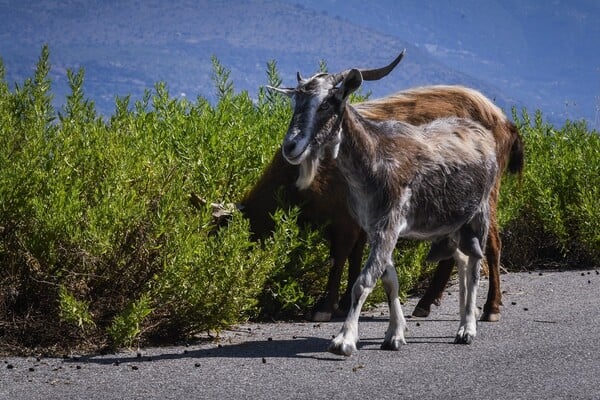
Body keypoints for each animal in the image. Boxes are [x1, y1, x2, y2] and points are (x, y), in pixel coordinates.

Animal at [219, 84, 520, 322]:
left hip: (486, 195)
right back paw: (426, 302)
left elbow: (339, 256)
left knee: (493, 244)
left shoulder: (343, 218)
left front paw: (325, 306)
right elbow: (355, 254)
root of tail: (506, 123)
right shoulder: (360, 217)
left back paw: (491, 307)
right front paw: (344, 303)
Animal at [270, 65, 500, 356]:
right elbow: (390, 280)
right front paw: (395, 335)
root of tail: (484, 134)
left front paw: (344, 340)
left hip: (480, 214)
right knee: (460, 259)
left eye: (325, 104)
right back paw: (460, 319)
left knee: (475, 266)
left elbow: (364, 281)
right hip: (452, 223)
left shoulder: (388, 225)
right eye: (295, 102)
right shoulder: (374, 228)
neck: (374, 157)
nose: (290, 147)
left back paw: (468, 328)